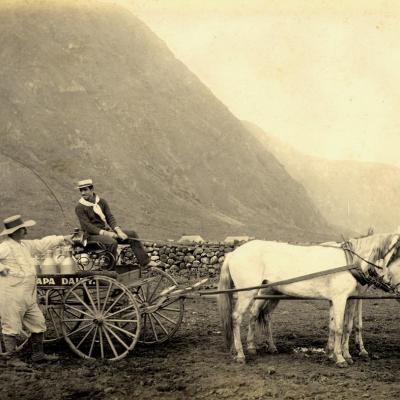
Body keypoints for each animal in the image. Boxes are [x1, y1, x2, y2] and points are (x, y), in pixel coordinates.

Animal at [217, 233, 400, 368]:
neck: (350, 261)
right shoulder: (340, 299)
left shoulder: (341, 299)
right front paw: (340, 358)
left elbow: (337, 326)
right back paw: (241, 354)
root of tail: (232, 254)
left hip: (270, 293)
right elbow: (340, 328)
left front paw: (334, 353)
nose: (395, 287)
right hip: (247, 293)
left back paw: (259, 347)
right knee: (237, 318)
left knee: (261, 316)